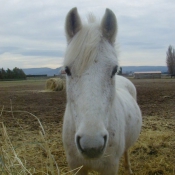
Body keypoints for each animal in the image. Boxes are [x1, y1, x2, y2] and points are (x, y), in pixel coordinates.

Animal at [63, 7, 142, 174]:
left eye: (114, 70)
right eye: (67, 70)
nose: (92, 144)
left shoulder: (110, 168)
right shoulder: (76, 166)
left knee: (126, 151)